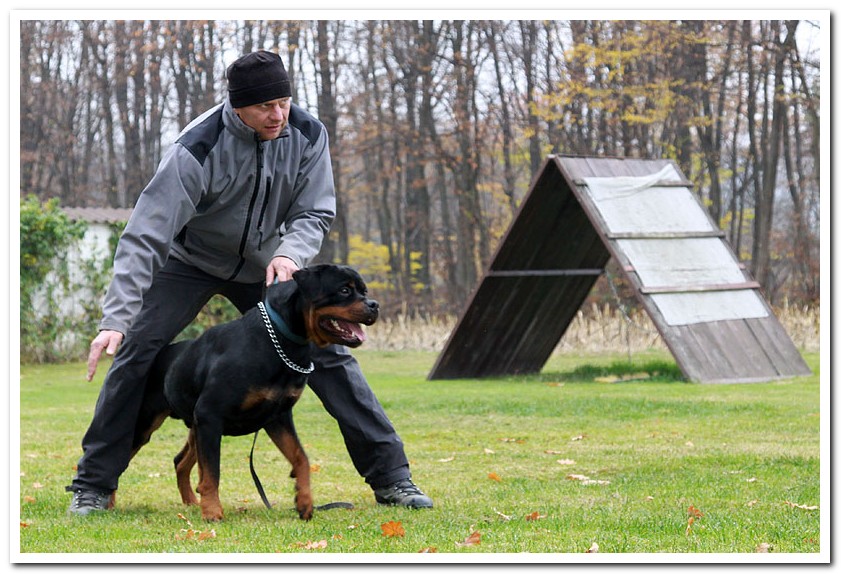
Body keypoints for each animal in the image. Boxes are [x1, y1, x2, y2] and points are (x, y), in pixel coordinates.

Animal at [128, 266, 378, 520]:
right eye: (344, 290)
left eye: (364, 291)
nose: (374, 304)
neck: (281, 342)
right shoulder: (210, 415)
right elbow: (212, 472)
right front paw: (212, 512)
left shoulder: (278, 417)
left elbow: (301, 457)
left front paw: (304, 502)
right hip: (149, 423)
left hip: (196, 425)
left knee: (180, 461)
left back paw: (190, 502)